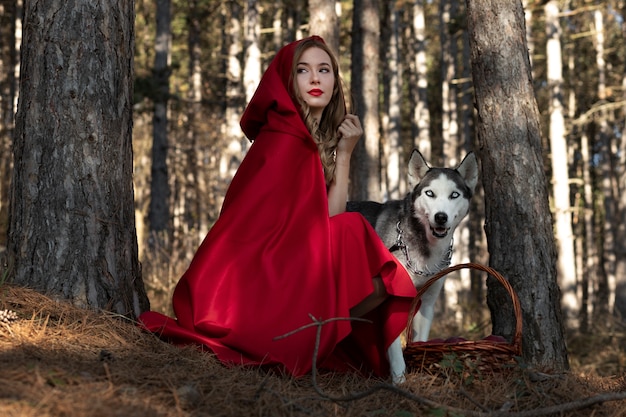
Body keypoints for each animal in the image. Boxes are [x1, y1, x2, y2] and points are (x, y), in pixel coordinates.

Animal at [346, 150, 478, 384]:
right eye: (430, 193)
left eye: (454, 195)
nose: (441, 217)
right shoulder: (393, 300)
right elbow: (394, 346)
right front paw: (399, 380)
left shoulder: (427, 302)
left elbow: (421, 339)